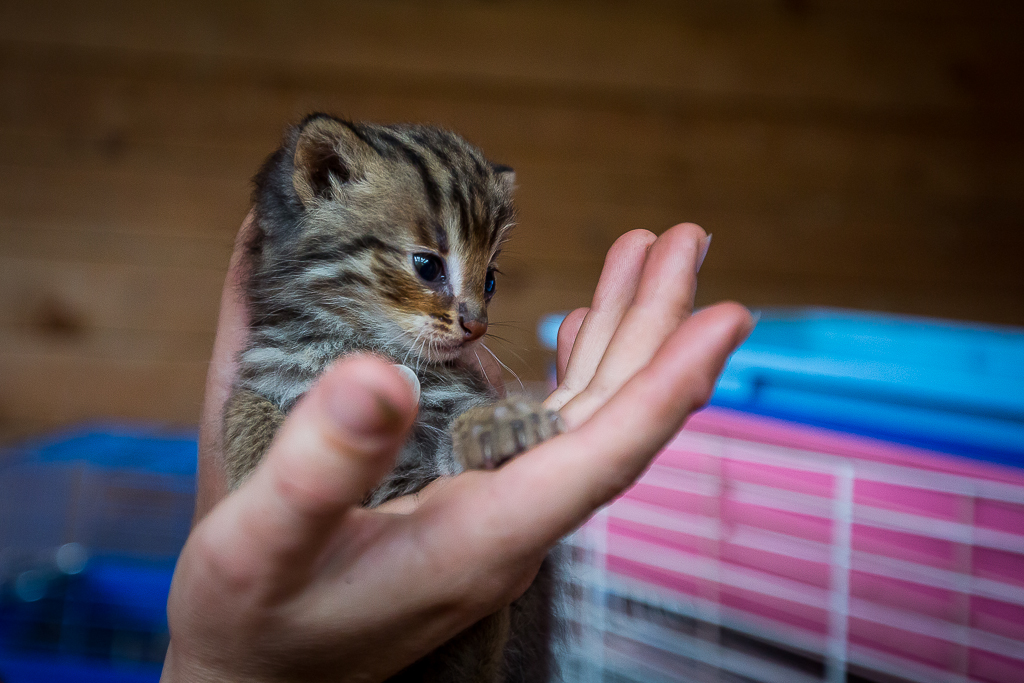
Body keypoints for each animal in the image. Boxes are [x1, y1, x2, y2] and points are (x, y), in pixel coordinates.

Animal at [225, 114, 561, 679]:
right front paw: (257, 463)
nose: (477, 326)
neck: (350, 336)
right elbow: (241, 405)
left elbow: (466, 414)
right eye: (427, 265)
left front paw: (498, 423)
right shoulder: (267, 366)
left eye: (490, 280)